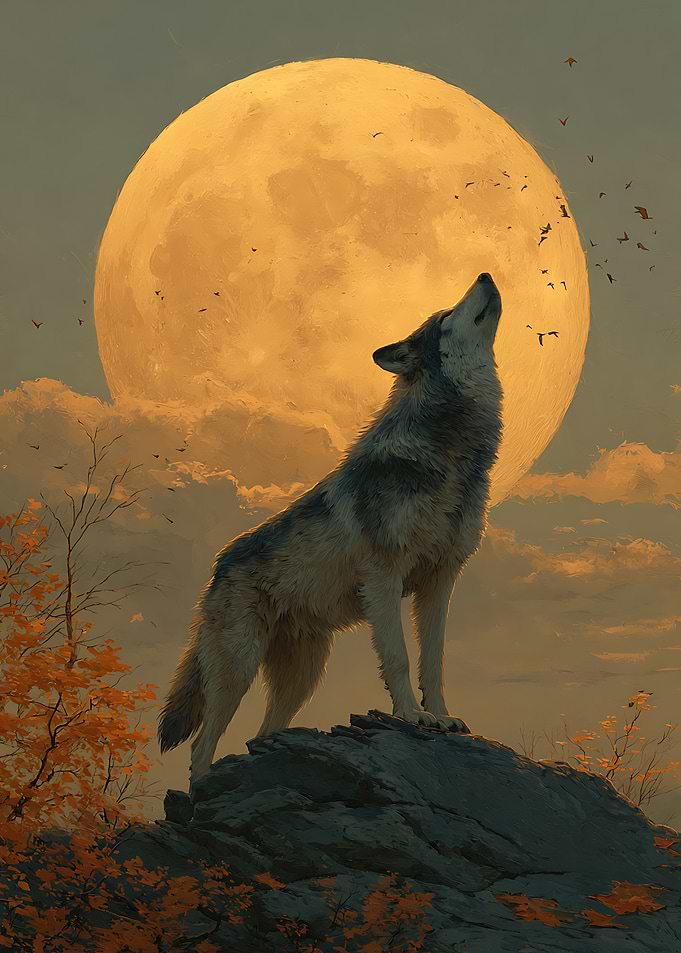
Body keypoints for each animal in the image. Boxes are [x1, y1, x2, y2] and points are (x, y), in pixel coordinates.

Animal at [158, 272, 504, 789]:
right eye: (446, 314)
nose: (484, 274)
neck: (451, 455)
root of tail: (219, 566)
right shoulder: (384, 577)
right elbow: (399, 658)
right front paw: (411, 715)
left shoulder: (440, 583)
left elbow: (434, 661)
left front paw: (441, 717)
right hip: (238, 667)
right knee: (202, 746)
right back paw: (200, 793)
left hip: (303, 675)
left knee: (260, 734)